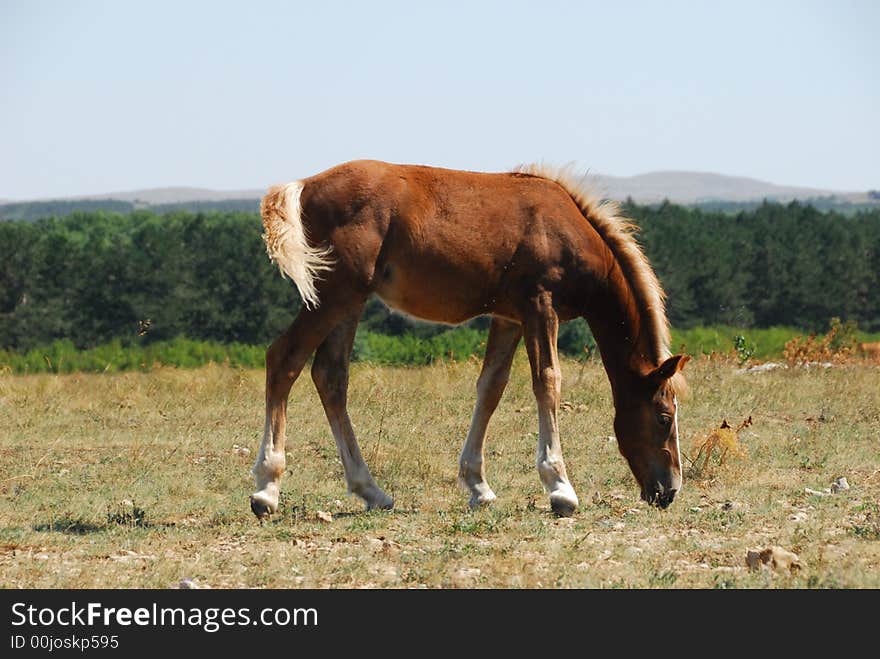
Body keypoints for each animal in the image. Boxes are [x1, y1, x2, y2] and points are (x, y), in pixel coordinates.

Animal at [248, 160, 688, 520]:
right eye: (664, 417)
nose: (669, 491)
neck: (566, 226)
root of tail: (304, 185)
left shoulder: (509, 318)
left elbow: (491, 387)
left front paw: (479, 486)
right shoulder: (539, 306)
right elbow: (548, 382)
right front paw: (560, 488)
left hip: (350, 299)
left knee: (330, 376)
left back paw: (371, 490)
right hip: (333, 292)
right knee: (284, 359)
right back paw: (267, 489)